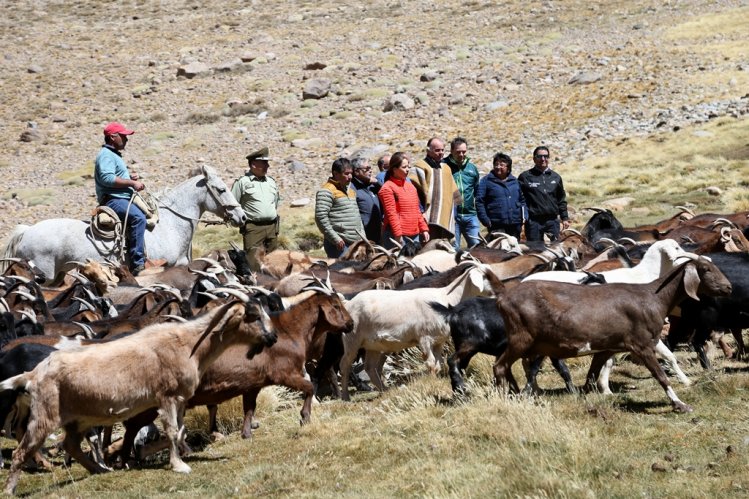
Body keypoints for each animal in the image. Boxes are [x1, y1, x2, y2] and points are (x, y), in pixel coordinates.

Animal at [0, 296, 278, 496]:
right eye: (254, 316)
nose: (273, 337)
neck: (189, 344)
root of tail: (33, 374)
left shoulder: (179, 400)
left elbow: (180, 431)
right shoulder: (167, 397)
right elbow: (172, 430)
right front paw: (179, 466)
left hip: (77, 419)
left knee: (71, 444)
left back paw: (100, 469)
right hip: (44, 416)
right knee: (20, 452)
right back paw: (11, 489)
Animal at [342, 264, 500, 400]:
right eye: (485, 276)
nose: (500, 289)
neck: (446, 297)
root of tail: (348, 303)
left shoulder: (438, 341)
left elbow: (439, 364)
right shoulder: (424, 338)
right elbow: (430, 364)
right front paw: (432, 383)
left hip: (373, 344)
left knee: (370, 368)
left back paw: (385, 391)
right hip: (352, 339)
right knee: (345, 365)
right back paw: (345, 397)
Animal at [494, 258, 728, 414]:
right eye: (706, 269)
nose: (728, 286)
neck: (653, 298)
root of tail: (502, 299)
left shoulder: (607, 347)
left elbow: (591, 376)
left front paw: (588, 399)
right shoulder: (642, 345)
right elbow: (660, 375)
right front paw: (680, 404)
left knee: (516, 368)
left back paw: (518, 393)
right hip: (521, 338)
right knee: (500, 366)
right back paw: (503, 397)